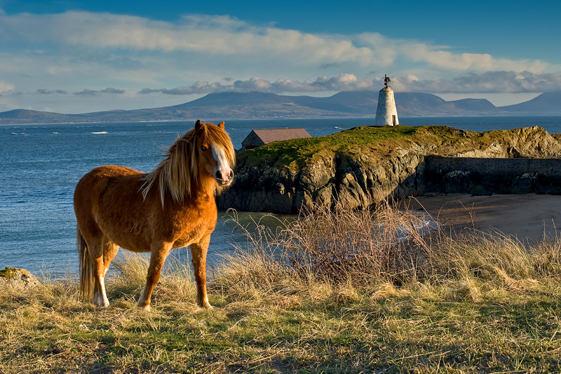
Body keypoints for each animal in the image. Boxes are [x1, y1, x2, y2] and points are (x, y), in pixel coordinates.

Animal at [74, 120, 234, 310]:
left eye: (225, 147)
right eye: (203, 147)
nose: (225, 175)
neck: (179, 196)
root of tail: (85, 179)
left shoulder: (201, 241)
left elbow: (200, 273)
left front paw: (205, 304)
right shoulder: (161, 243)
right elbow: (154, 274)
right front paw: (144, 305)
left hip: (110, 242)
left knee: (102, 269)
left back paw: (98, 301)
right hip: (94, 238)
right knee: (98, 268)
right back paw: (104, 302)